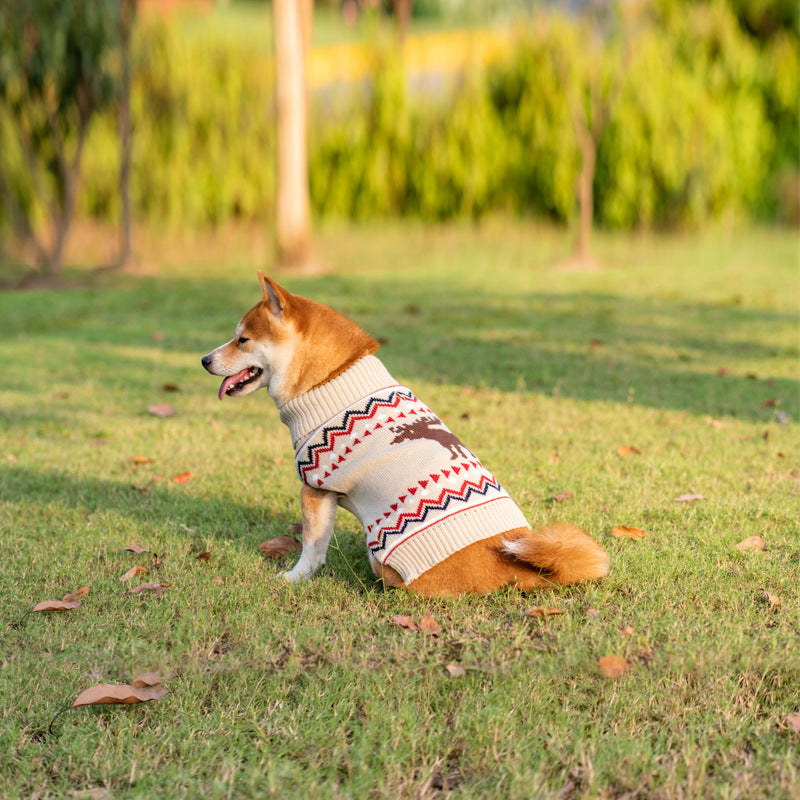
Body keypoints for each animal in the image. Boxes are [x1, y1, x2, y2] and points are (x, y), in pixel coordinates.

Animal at [202, 276, 608, 592]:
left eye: (242, 340)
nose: (204, 360)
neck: (332, 377)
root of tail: (516, 570)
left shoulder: (315, 487)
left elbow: (312, 547)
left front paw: (295, 578)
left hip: (382, 556)